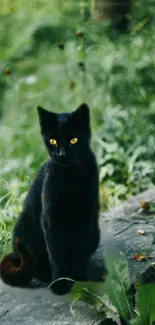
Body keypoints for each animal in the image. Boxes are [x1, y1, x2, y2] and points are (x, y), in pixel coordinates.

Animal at [0, 103, 100, 294]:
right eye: (53, 141)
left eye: (74, 140)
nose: (61, 154)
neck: (71, 176)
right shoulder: (51, 218)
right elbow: (56, 254)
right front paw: (60, 283)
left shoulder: (86, 217)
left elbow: (79, 252)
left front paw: (79, 280)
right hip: (22, 230)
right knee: (34, 265)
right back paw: (46, 275)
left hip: (95, 232)